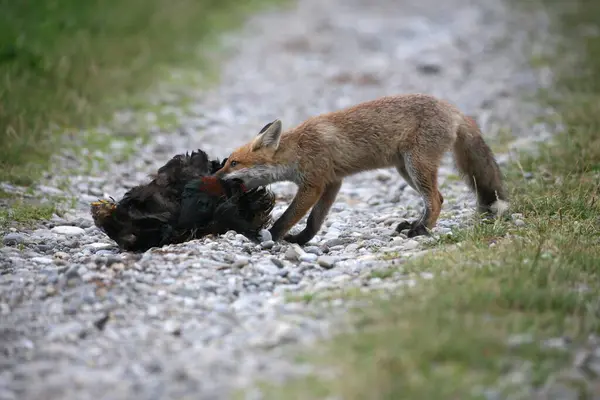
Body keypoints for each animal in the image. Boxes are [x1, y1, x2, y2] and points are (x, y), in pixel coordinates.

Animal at [213, 94, 508, 244]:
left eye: (233, 163)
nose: (213, 177)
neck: (298, 149)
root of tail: (454, 109)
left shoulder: (313, 184)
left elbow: (288, 216)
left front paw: (272, 237)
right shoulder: (333, 182)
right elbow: (314, 220)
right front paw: (301, 240)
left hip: (416, 166)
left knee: (435, 199)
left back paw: (420, 230)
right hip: (406, 170)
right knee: (440, 198)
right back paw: (417, 225)